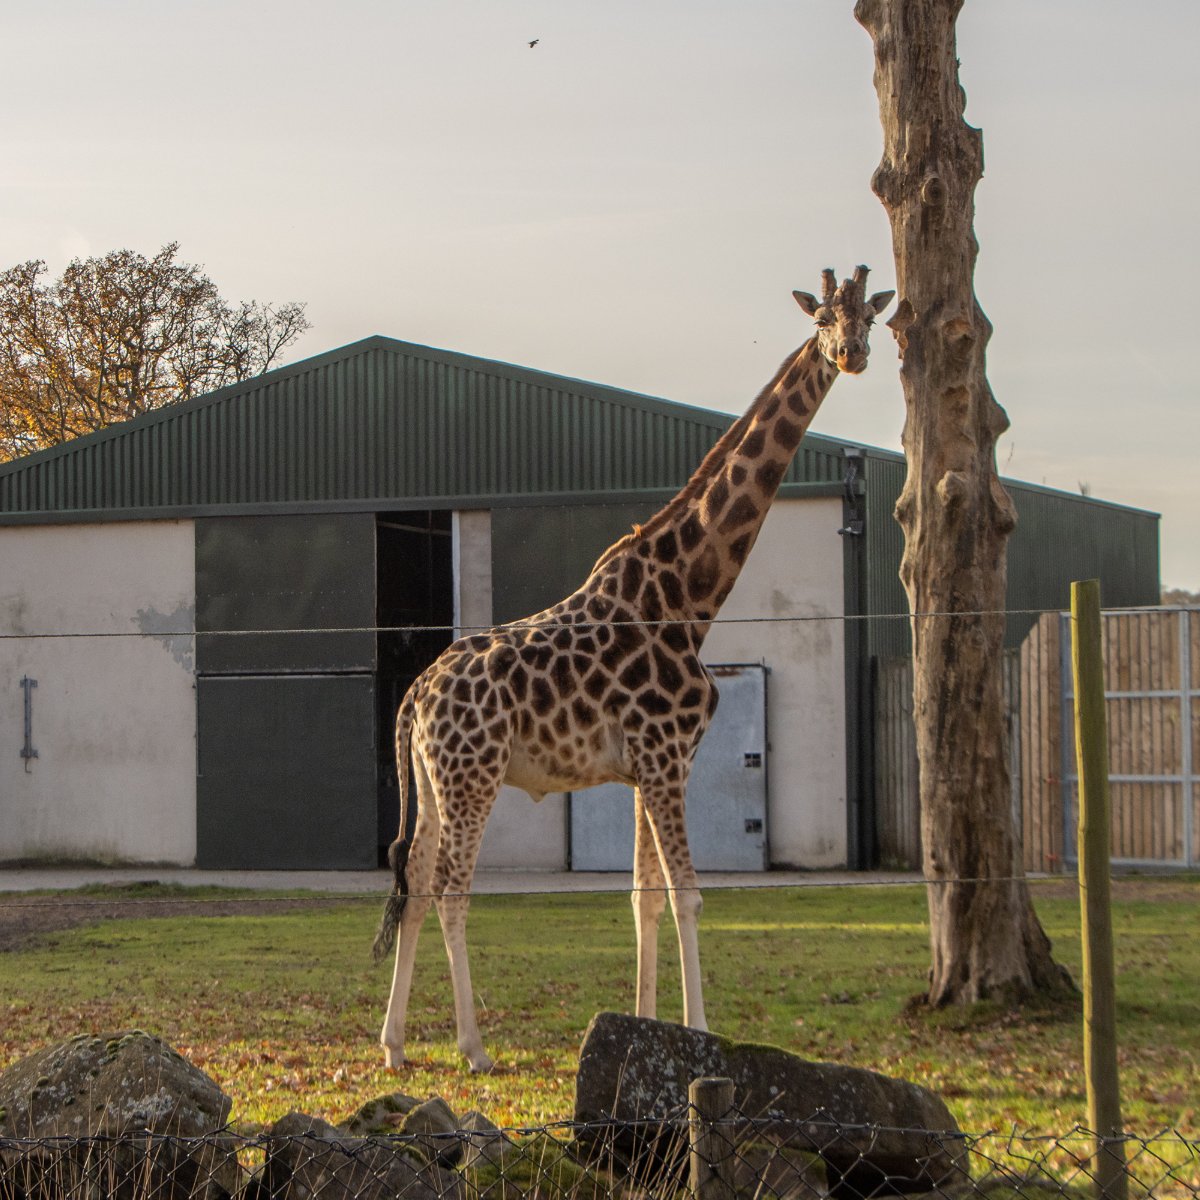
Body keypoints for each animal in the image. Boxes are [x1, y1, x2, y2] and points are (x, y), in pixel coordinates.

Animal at [373, 266, 894, 1072]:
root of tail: (415, 695)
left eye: (869, 316)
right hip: (474, 776)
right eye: (824, 320)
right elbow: (687, 894)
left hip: (433, 781)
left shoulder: (648, 765)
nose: (852, 354)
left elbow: (644, 896)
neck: (689, 596)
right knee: (455, 888)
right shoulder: (666, 754)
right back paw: (473, 1047)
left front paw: (649, 1027)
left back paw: (396, 1045)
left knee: (419, 883)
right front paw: (703, 1030)